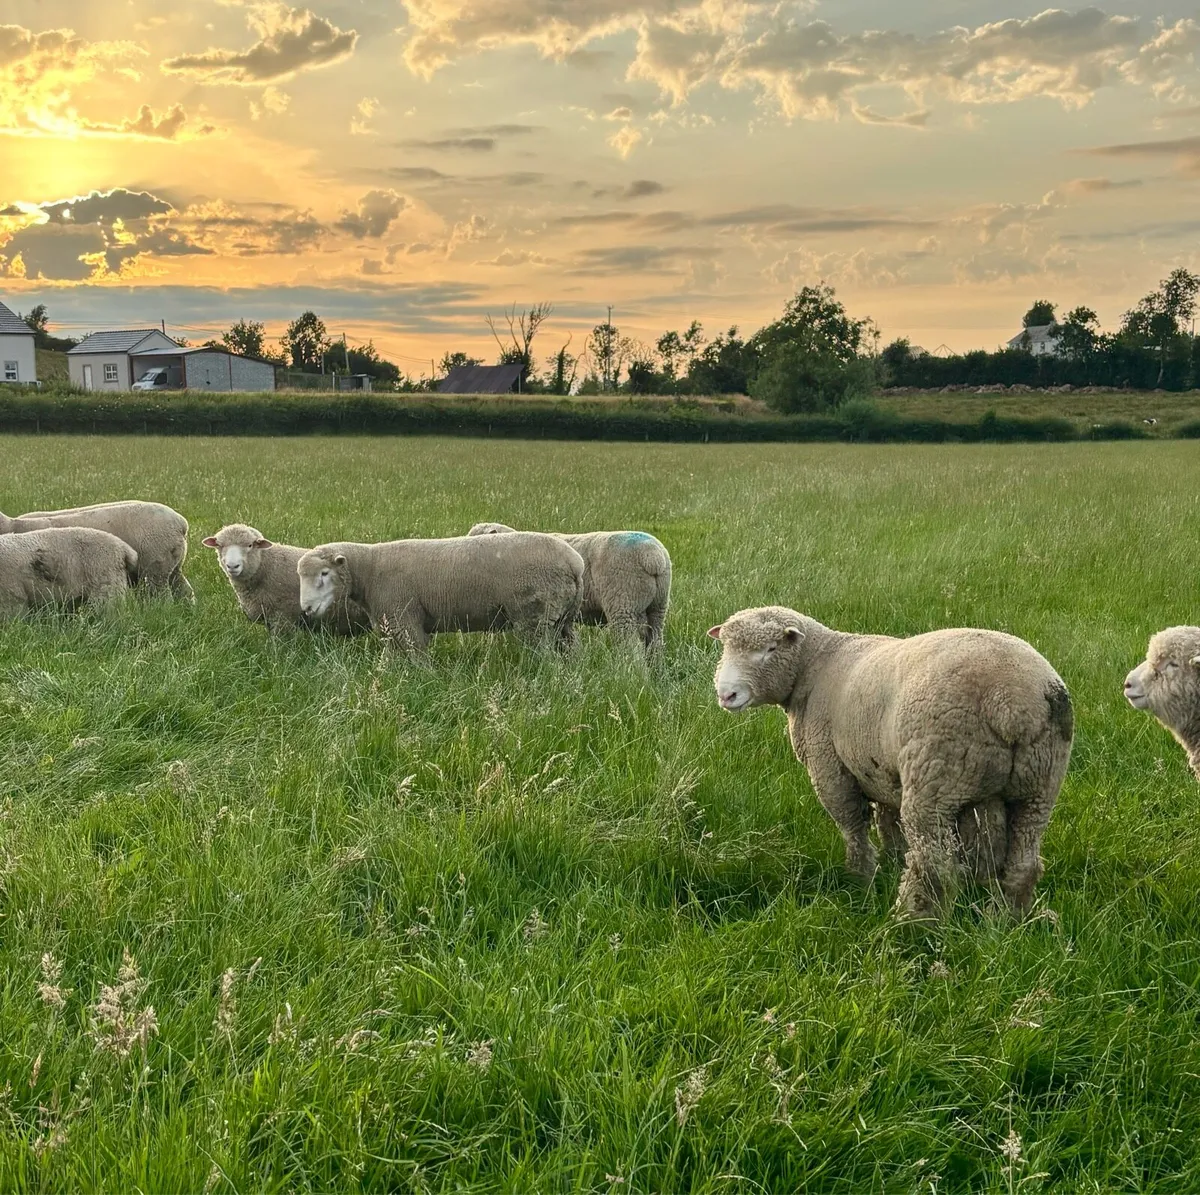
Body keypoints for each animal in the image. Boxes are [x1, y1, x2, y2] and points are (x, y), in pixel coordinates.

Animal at [1, 501, 192, 601]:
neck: (11, 525)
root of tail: (181, 523)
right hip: (173, 567)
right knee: (185, 592)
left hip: (155, 569)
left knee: (163, 598)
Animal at [296, 532, 584, 655]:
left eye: (324, 573)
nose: (306, 609)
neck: (369, 570)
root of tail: (574, 563)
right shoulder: (392, 622)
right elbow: (392, 657)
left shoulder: (404, 618)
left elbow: (417, 655)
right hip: (562, 617)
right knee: (569, 648)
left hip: (534, 615)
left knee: (544, 656)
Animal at [709, 606, 1074, 920]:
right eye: (725, 647)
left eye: (770, 649)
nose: (726, 695)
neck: (817, 664)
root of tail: (1013, 704)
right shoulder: (882, 772)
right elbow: (890, 825)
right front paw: (890, 864)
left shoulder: (829, 767)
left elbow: (853, 826)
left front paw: (861, 877)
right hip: (1038, 785)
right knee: (1024, 864)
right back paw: (1005, 920)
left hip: (935, 778)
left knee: (936, 867)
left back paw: (912, 923)